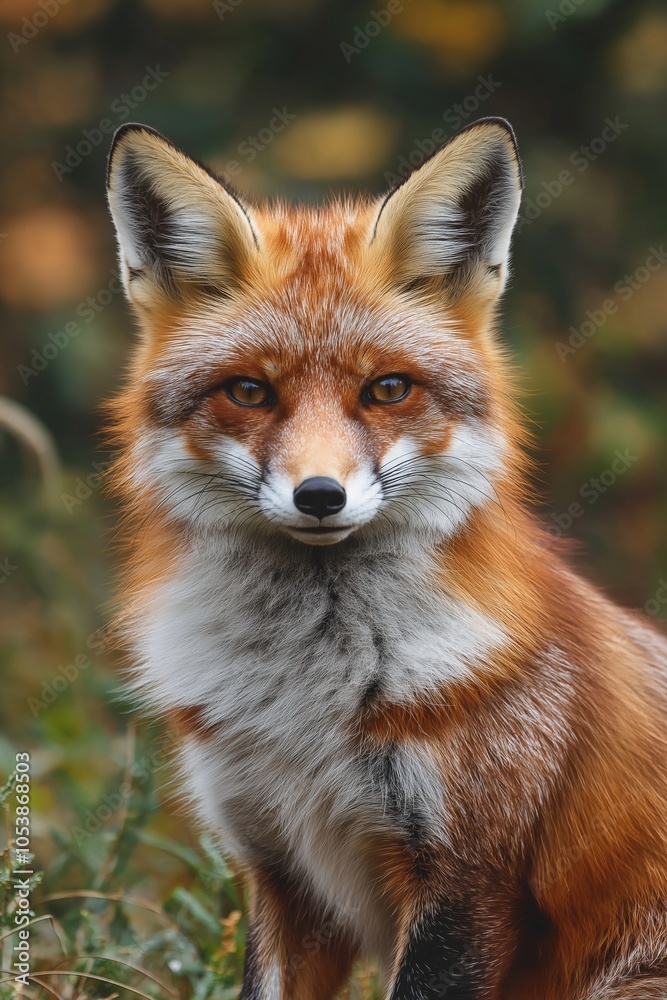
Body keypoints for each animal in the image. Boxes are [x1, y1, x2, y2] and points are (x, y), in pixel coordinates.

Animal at [105, 117, 667, 999]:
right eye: (250, 392)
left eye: (387, 389)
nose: (319, 496)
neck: (304, 707)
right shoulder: (280, 870)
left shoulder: (466, 881)